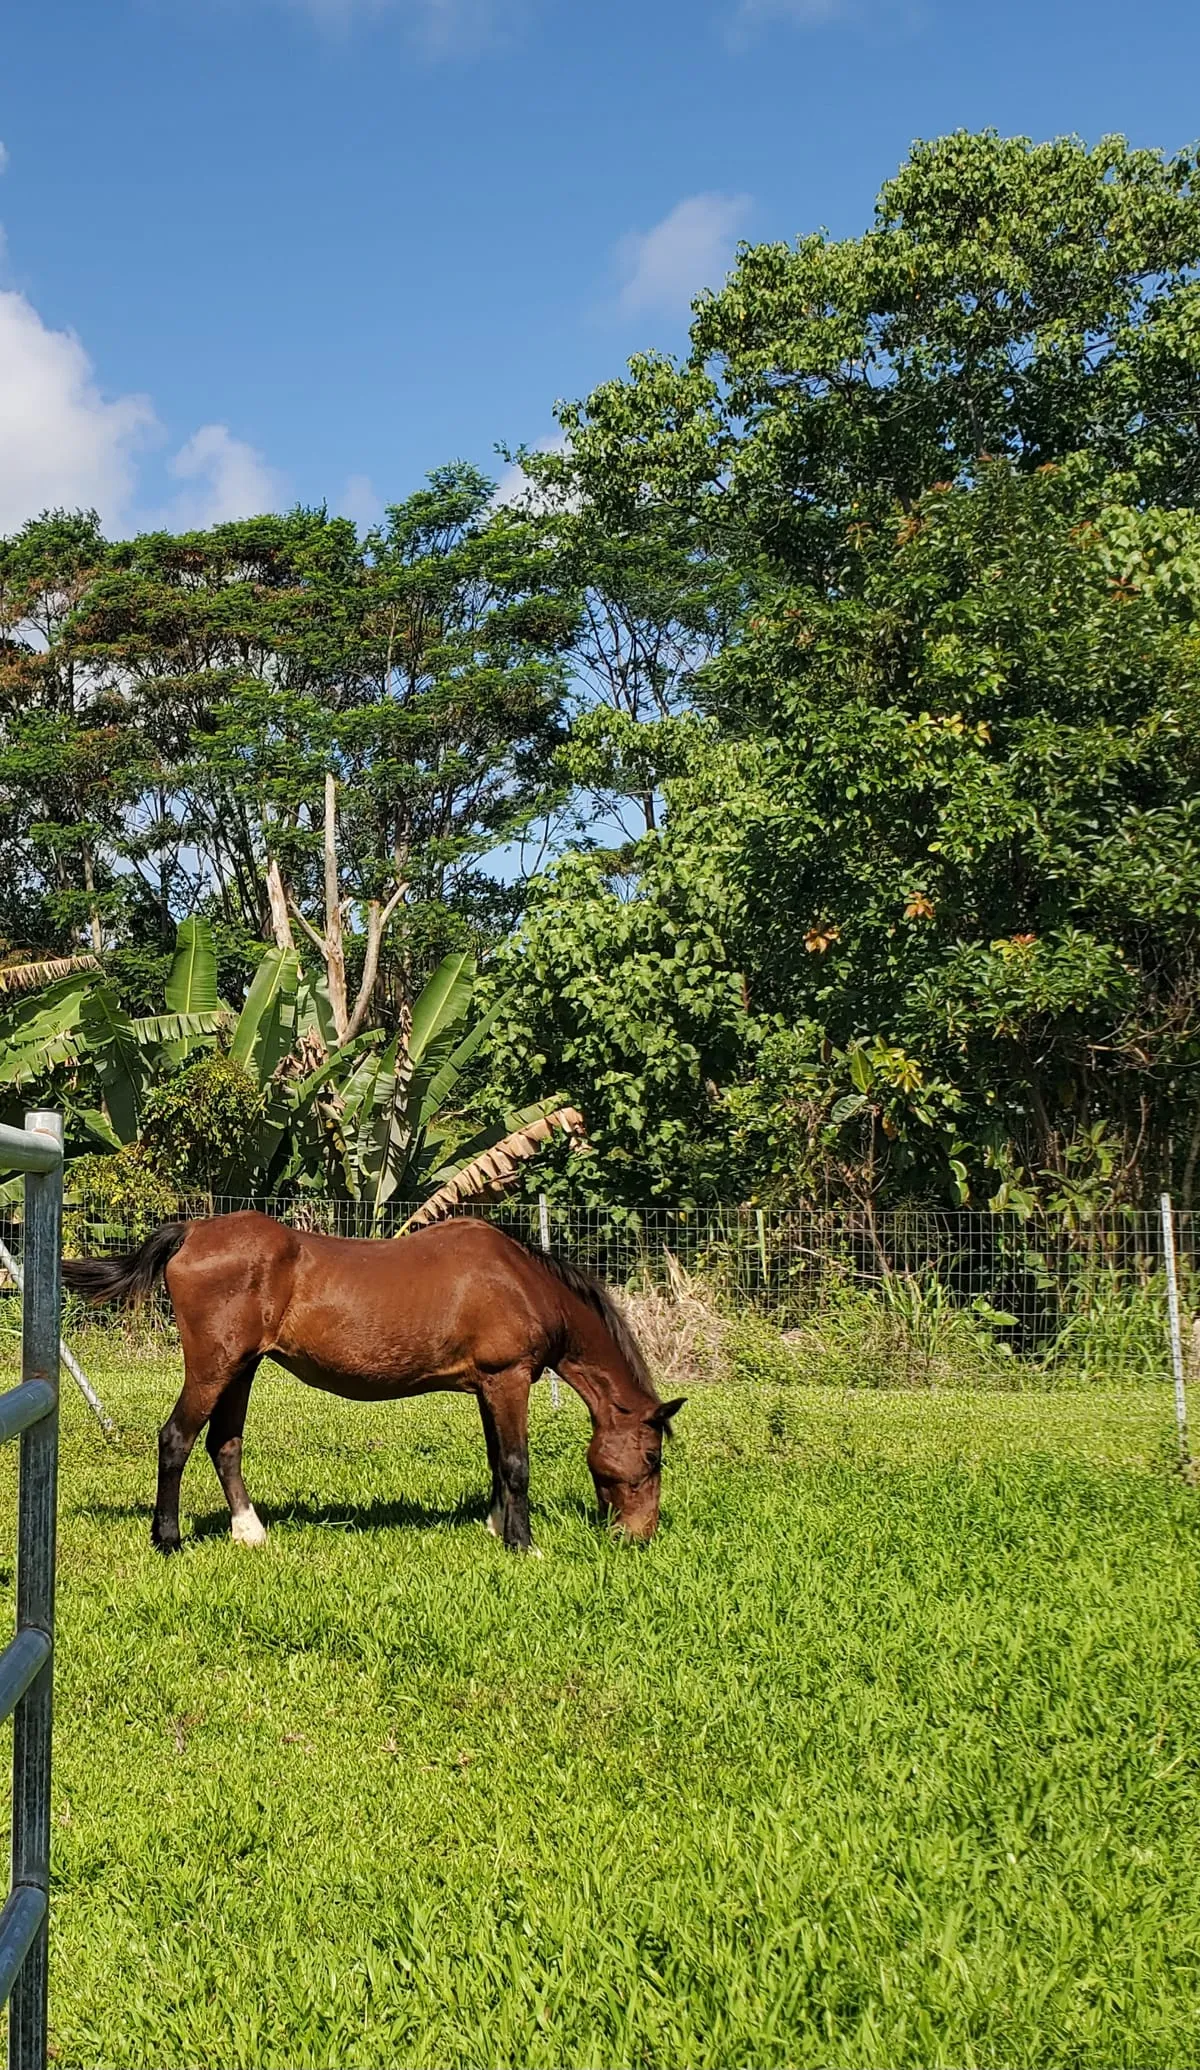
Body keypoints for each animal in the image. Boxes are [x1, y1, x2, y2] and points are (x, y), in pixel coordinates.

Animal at [63, 1211, 684, 1556]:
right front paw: (523, 1545)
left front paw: (494, 1527)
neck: (522, 1281)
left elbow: (494, 1459)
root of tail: (191, 1231)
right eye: (653, 1457)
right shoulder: (509, 1379)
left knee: (224, 1444)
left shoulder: (489, 1386)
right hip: (214, 1367)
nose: (639, 1535)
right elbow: (515, 1463)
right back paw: (167, 1539)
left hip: (242, 1368)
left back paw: (250, 1532)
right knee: (177, 1439)